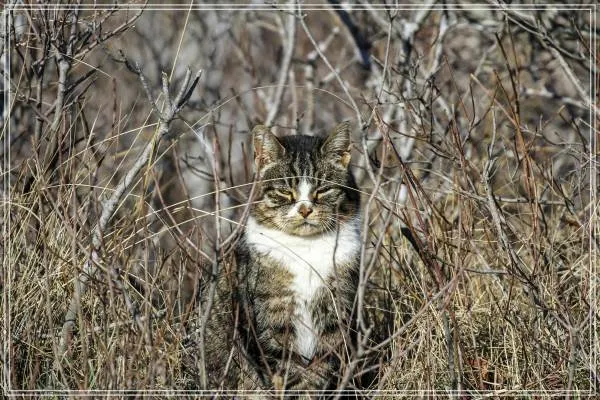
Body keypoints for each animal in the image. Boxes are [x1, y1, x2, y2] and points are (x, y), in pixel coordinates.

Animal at [233, 122, 362, 395]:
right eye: (284, 192)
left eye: (323, 190)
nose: (304, 209)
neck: (305, 249)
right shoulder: (271, 317)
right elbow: (288, 372)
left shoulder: (335, 312)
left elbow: (323, 368)